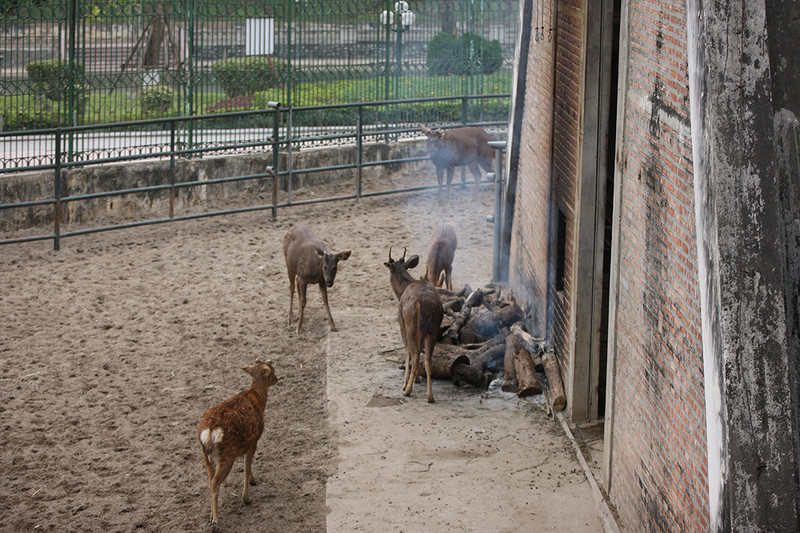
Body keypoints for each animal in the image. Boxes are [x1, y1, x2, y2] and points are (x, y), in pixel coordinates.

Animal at [196, 358, 278, 528]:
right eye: (272, 370)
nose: (277, 379)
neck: (259, 400)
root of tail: (209, 433)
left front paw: (253, 481)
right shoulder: (254, 440)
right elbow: (246, 467)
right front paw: (246, 497)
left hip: (206, 456)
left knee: (210, 480)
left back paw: (211, 514)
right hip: (227, 454)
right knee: (215, 483)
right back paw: (216, 519)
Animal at [382, 247, 444, 402]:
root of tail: (424, 304)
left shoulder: (401, 322)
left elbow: (406, 351)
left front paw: (406, 382)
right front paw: (416, 379)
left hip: (410, 324)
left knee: (415, 357)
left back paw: (407, 390)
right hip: (433, 328)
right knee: (427, 359)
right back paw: (430, 396)